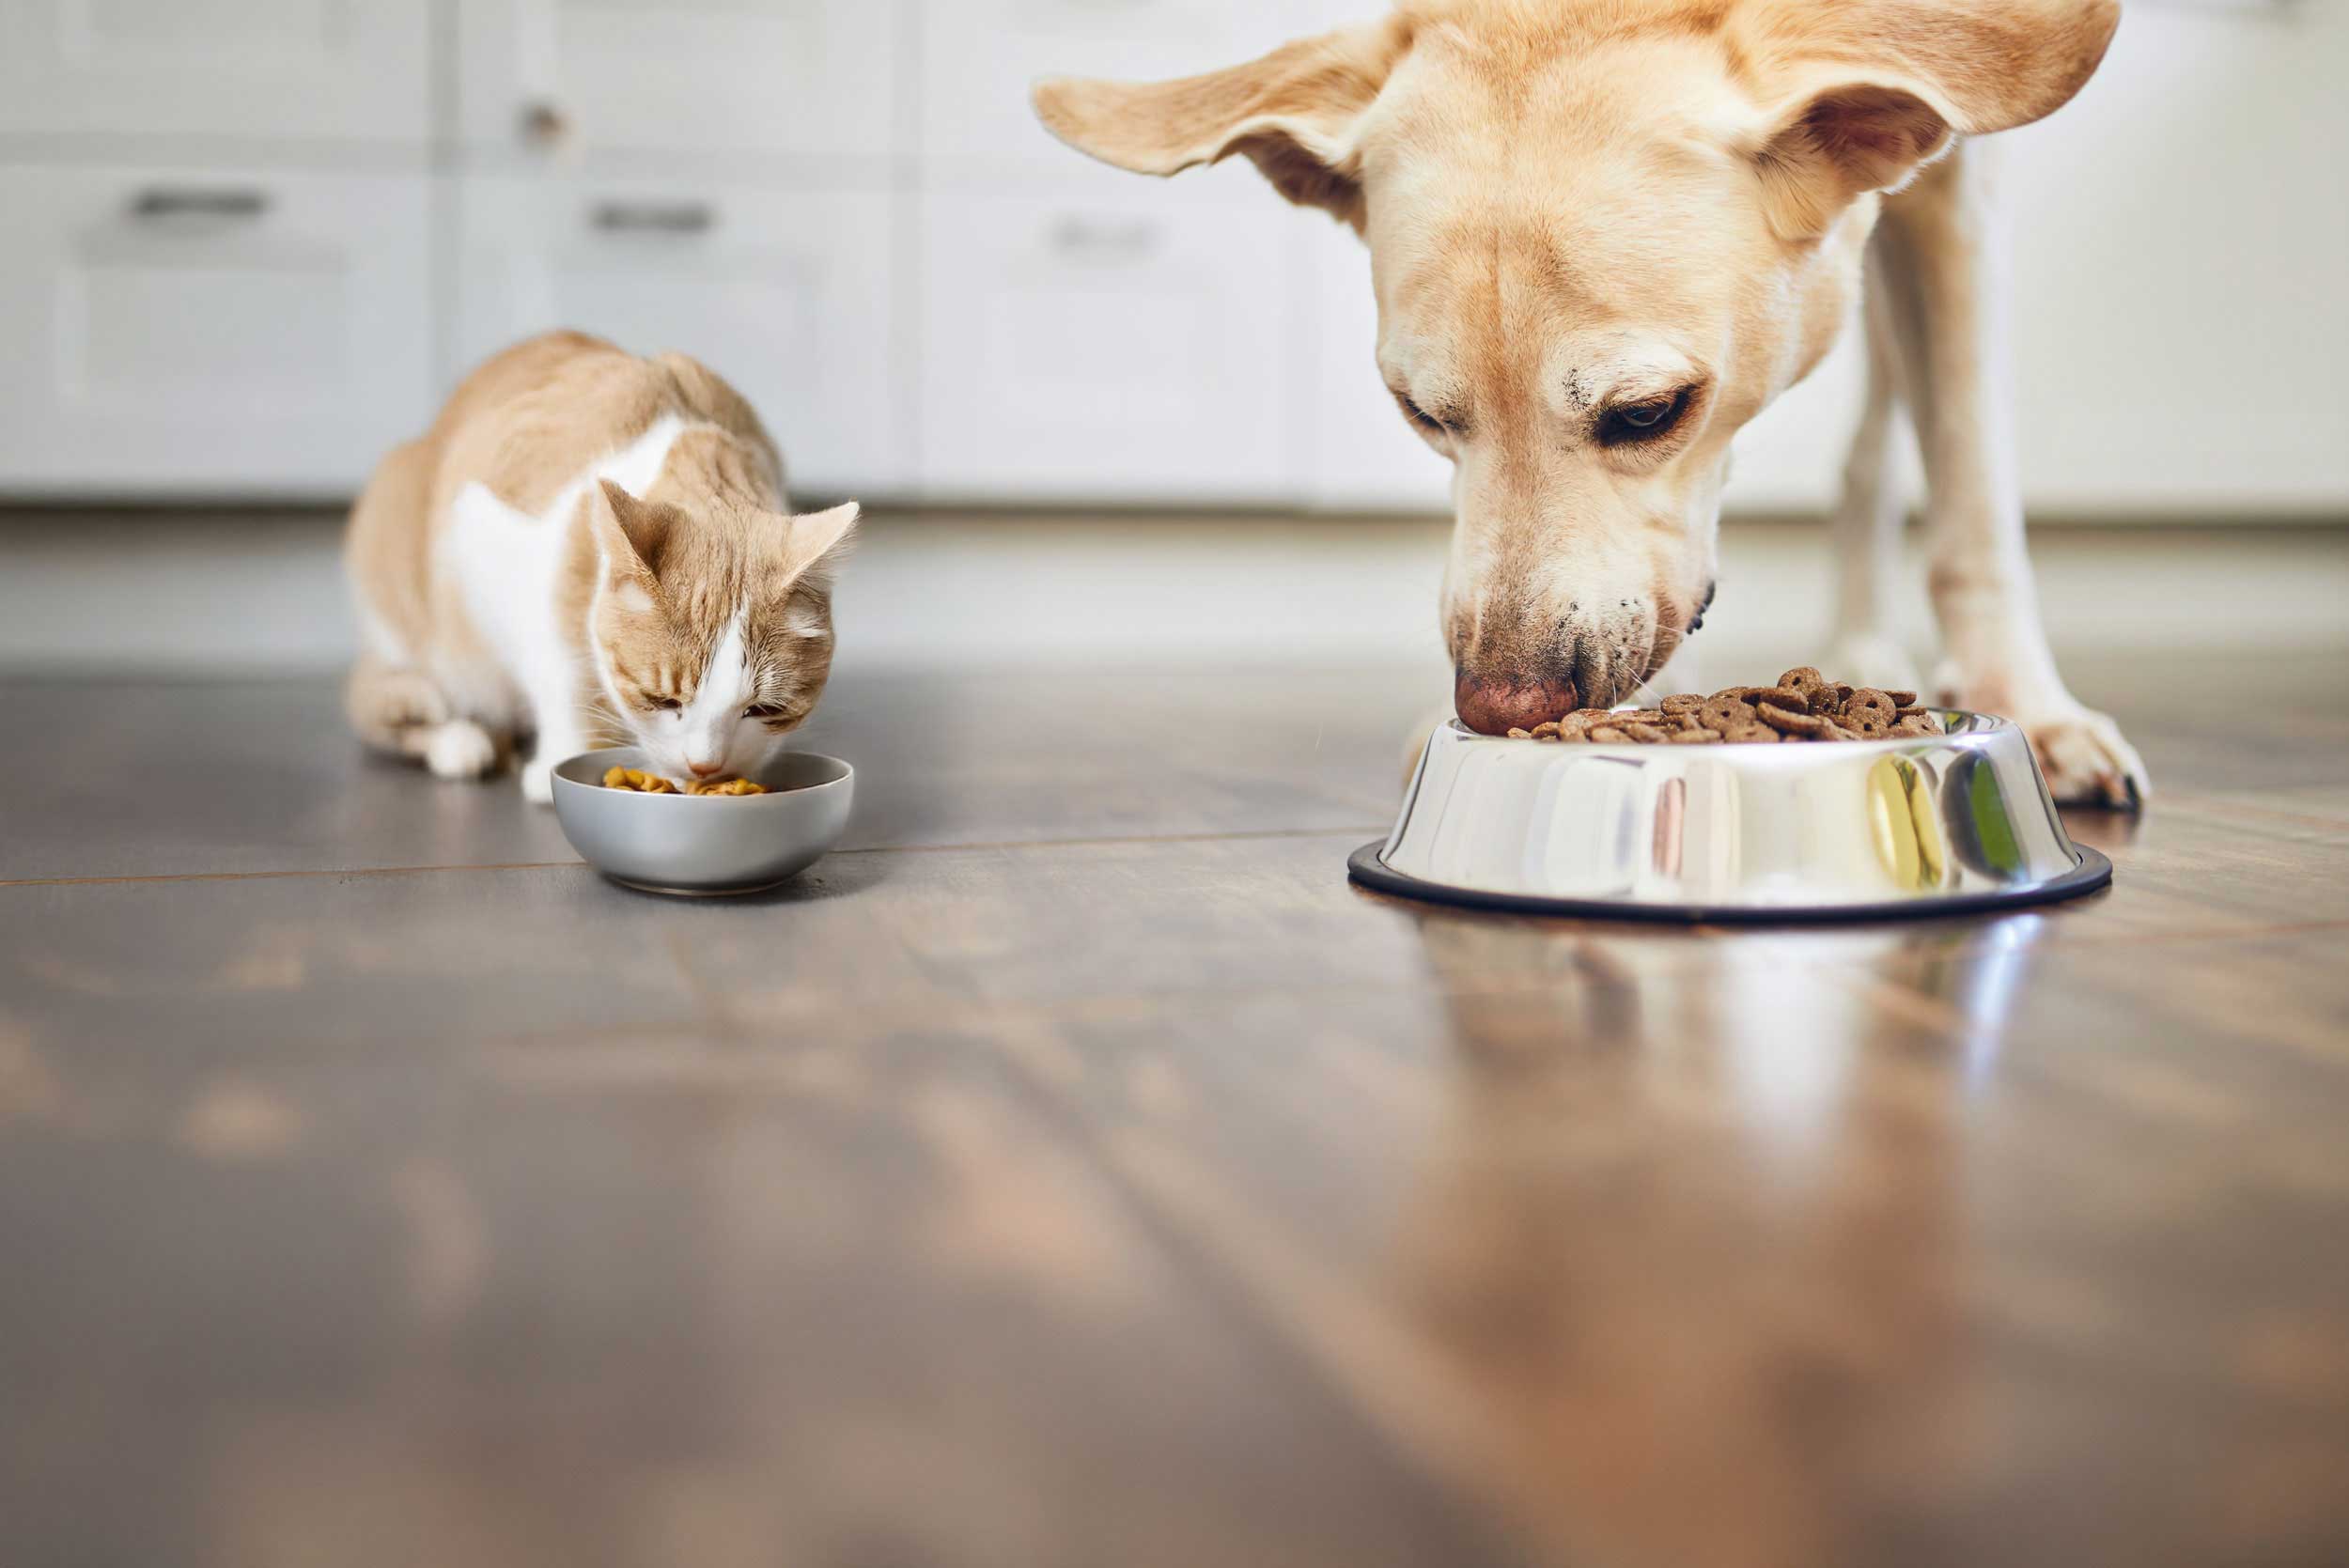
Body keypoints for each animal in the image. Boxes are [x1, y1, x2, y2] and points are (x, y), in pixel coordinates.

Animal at [343, 323, 860, 802]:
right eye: (661, 700)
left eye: (765, 711)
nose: (705, 766)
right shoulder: (490, 545)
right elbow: (560, 670)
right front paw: (562, 759)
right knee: (383, 700)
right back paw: (459, 740)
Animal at [1043, 0, 2152, 802]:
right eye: (1420, 413)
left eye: (1649, 412)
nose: (1498, 705)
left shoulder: (1960, 185)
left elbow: (1971, 487)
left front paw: (2029, 708)